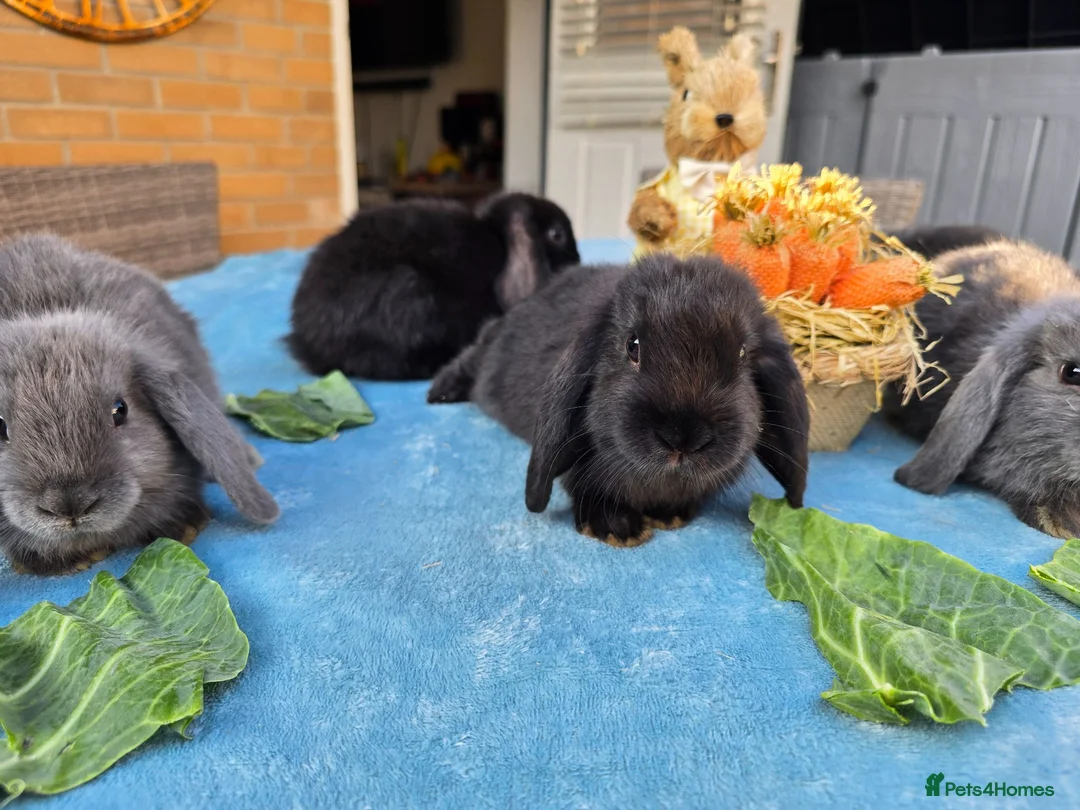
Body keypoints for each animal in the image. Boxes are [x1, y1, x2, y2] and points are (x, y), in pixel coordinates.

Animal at [428, 252, 809, 545]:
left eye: (743, 354)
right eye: (632, 345)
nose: (683, 438)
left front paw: (670, 515)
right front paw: (614, 527)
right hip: (487, 353)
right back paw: (439, 393)